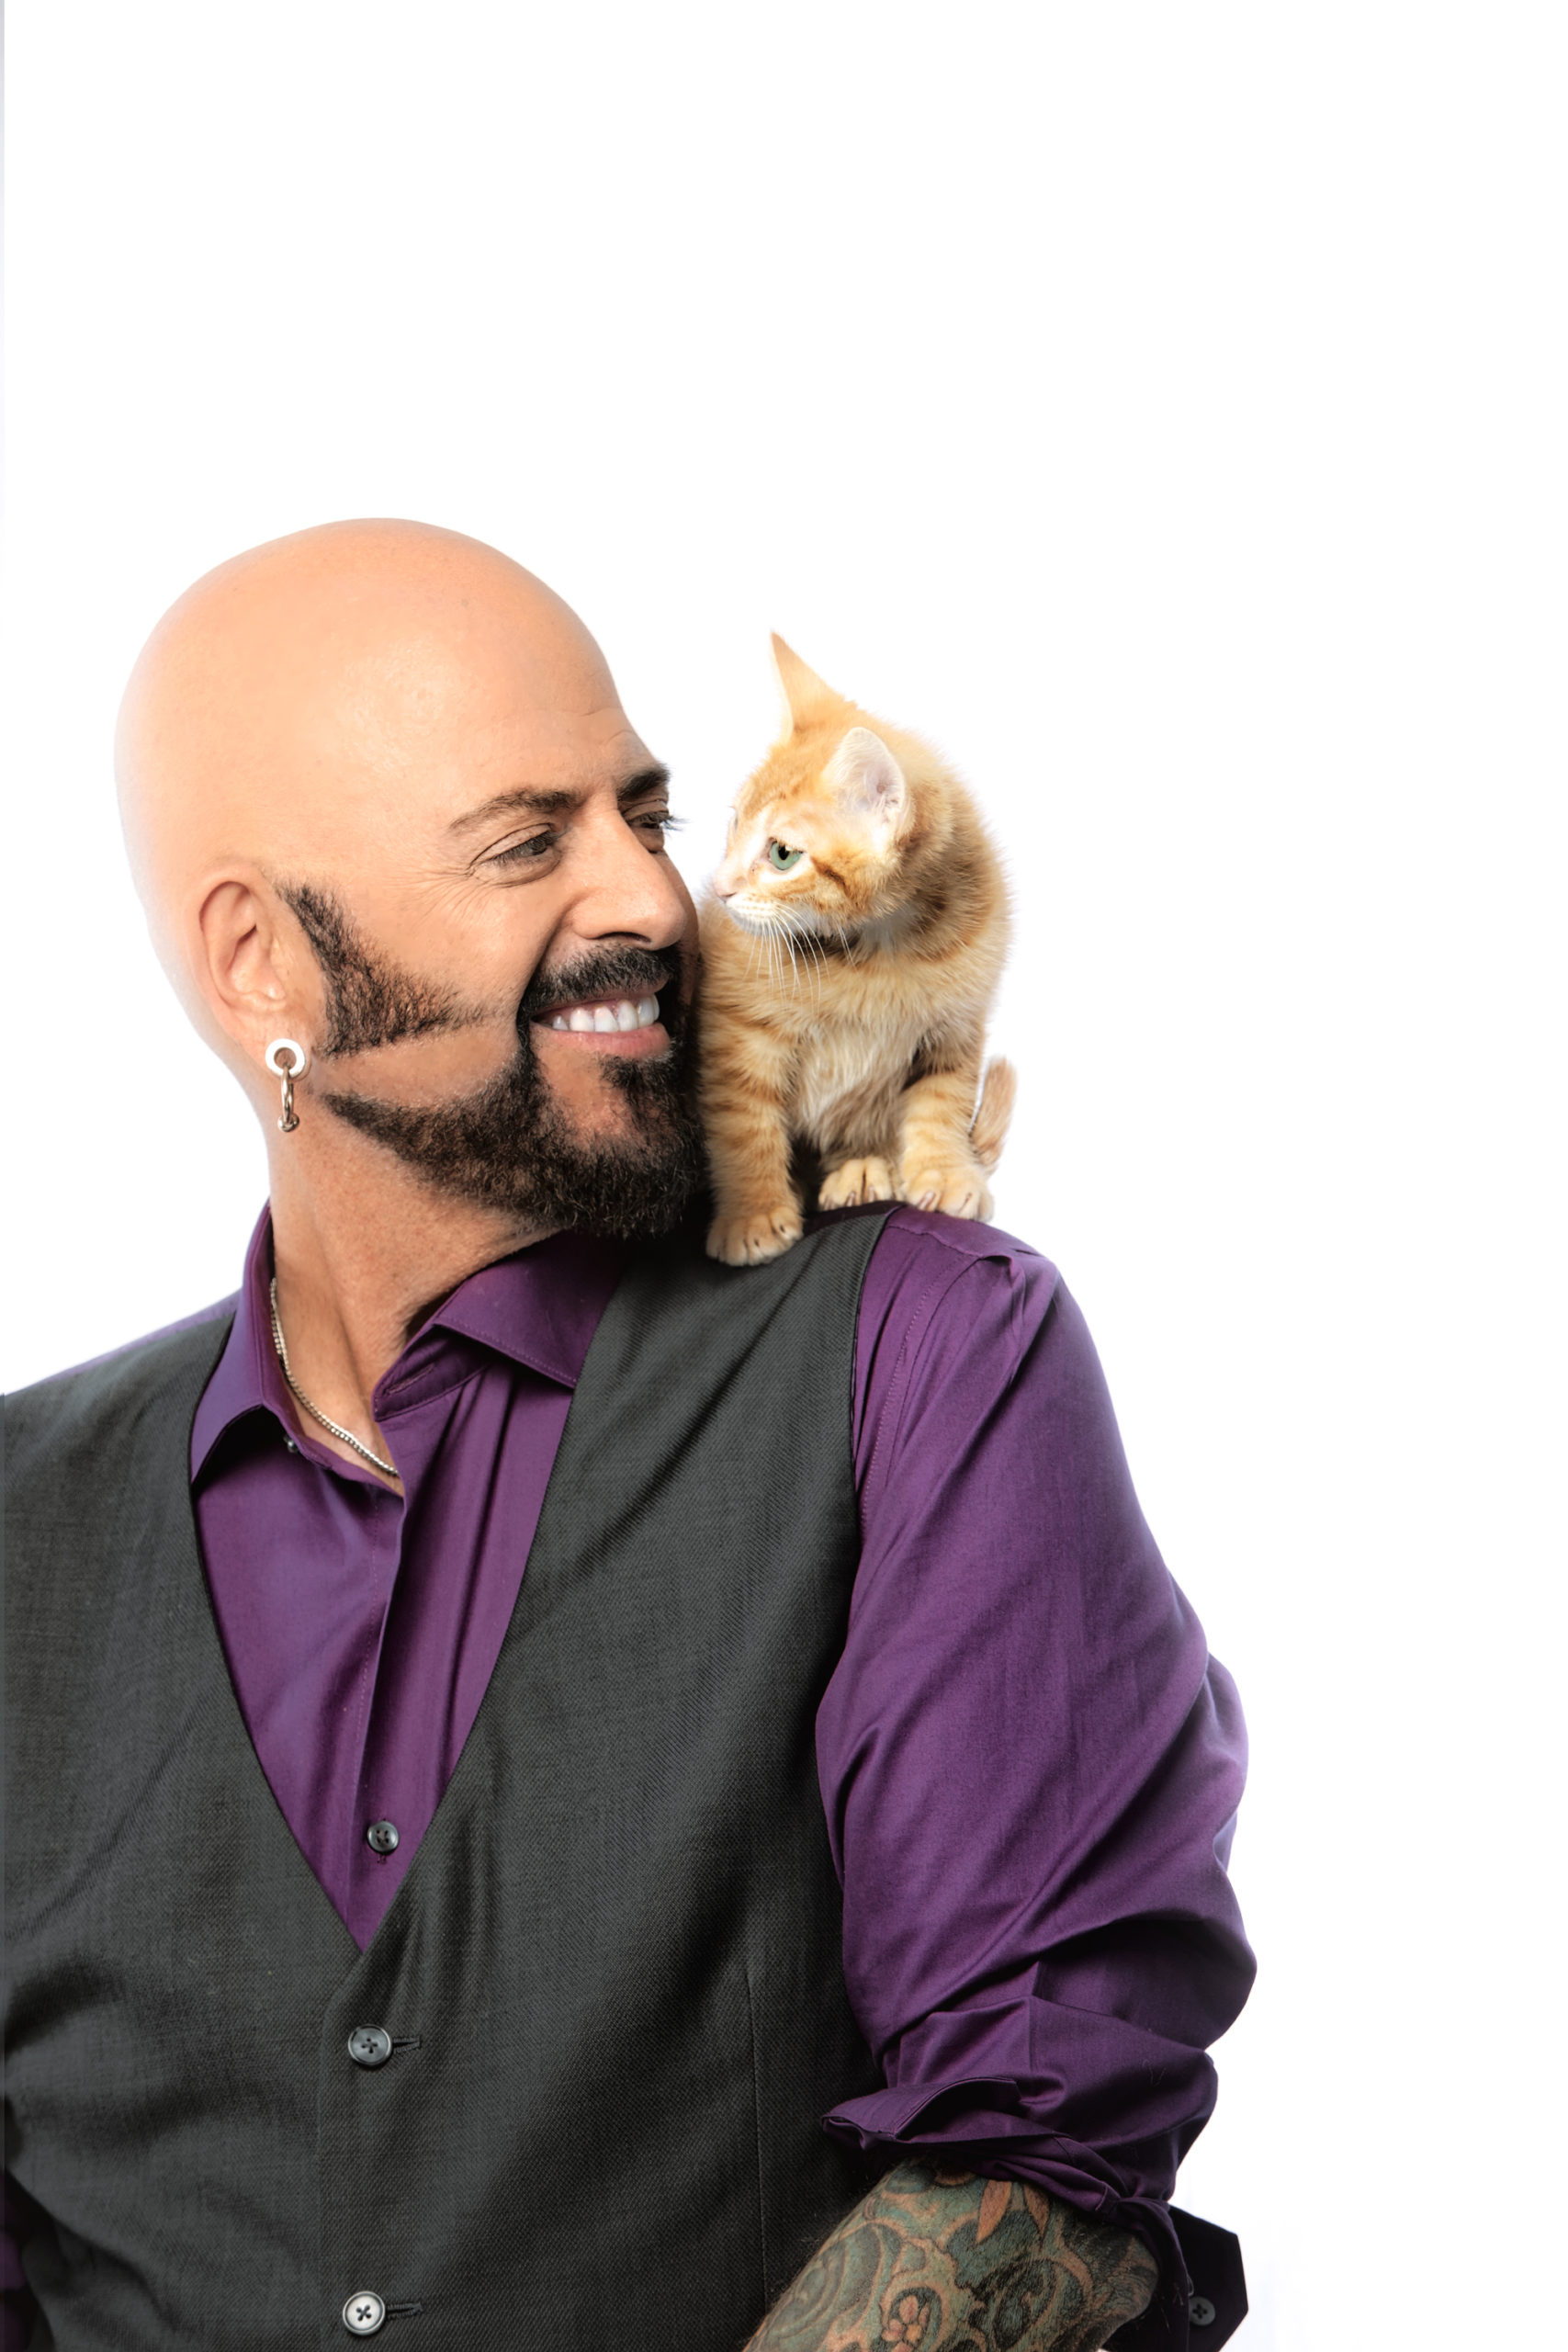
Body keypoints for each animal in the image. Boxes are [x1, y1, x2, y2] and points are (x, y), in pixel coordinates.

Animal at [700, 636, 1015, 1266]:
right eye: (735, 823)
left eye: (782, 854)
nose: (719, 890)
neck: (877, 947)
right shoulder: (739, 1029)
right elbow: (744, 1122)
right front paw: (753, 1214)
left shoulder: (956, 1025)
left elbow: (941, 1097)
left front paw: (944, 1172)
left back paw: (864, 1169)